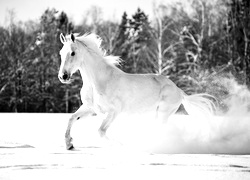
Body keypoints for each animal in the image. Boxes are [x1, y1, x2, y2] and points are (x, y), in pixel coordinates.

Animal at [58, 33, 215, 150]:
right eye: (61, 53)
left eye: (72, 53)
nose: (63, 76)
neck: (98, 81)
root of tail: (179, 90)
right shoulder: (91, 109)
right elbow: (72, 118)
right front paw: (69, 144)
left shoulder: (113, 111)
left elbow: (101, 131)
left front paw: (121, 145)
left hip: (163, 113)